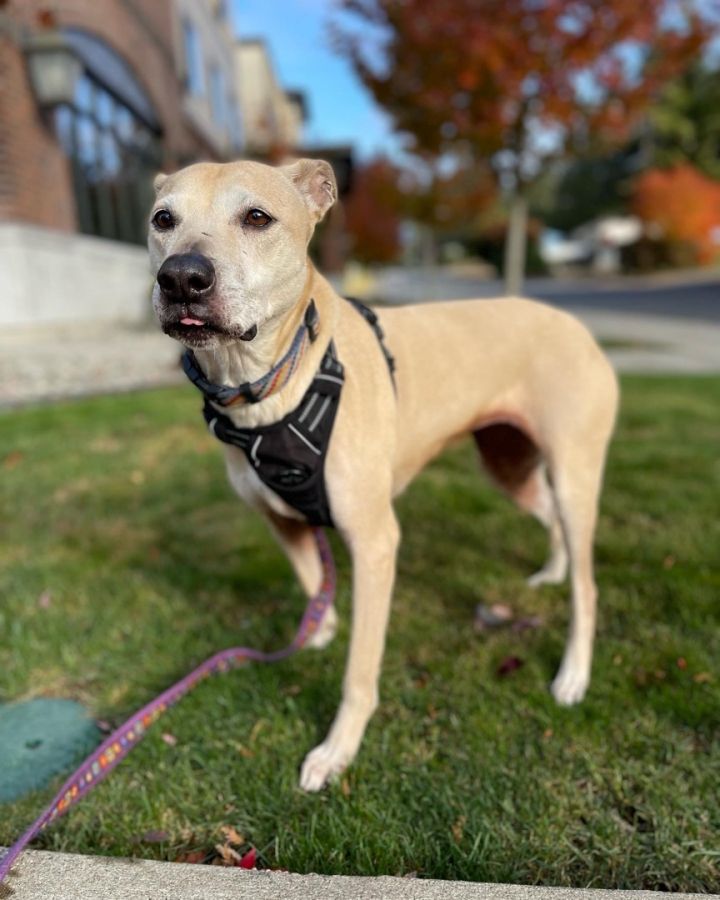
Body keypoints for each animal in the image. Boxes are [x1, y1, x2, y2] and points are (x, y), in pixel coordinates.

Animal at [148, 158, 620, 792]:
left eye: (257, 217)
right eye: (162, 219)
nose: (181, 278)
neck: (272, 385)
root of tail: (576, 325)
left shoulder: (375, 545)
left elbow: (359, 671)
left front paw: (337, 749)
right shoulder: (282, 519)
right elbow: (312, 582)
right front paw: (320, 630)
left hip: (574, 475)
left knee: (587, 587)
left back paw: (572, 674)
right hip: (508, 465)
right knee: (548, 516)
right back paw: (551, 571)